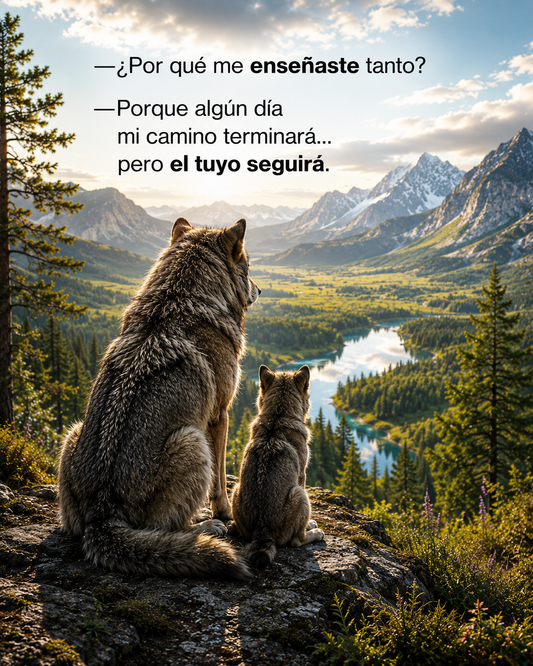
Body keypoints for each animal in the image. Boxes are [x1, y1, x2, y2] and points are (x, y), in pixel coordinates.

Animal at [59, 217, 259, 579]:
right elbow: (221, 481)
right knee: (170, 528)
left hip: (73, 431)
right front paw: (225, 513)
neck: (178, 297)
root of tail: (102, 513)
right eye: (247, 267)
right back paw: (207, 527)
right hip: (192, 440)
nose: (260, 289)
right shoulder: (219, 415)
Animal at [231, 365, 325, 568]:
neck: (278, 415)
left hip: (235, 488)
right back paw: (315, 533)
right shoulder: (302, 476)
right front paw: (311, 525)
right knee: (297, 540)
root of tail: (262, 530)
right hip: (300, 494)